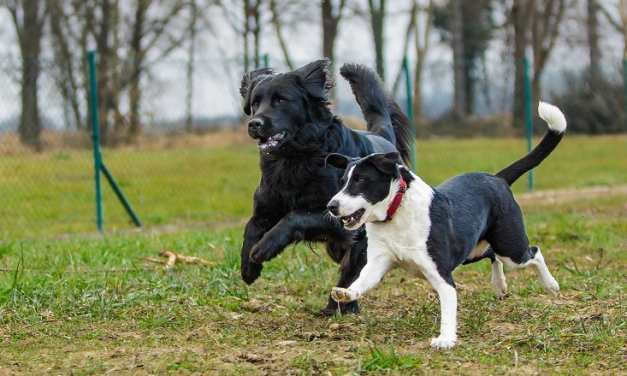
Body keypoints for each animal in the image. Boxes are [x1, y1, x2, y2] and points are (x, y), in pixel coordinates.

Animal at [239, 59, 412, 314]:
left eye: (281, 100)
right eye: (254, 103)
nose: (254, 124)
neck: (295, 158)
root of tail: (382, 138)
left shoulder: (340, 217)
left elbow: (295, 217)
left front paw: (265, 247)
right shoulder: (265, 208)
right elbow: (251, 228)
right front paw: (248, 267)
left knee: (352, 270)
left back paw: (338, 307)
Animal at [326, 101, 568, 348]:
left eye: (361, 180)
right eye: (342, 181)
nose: (331, 206)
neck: (396, 211)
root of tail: (497, 178)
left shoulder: (440, 273)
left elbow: (448, 306)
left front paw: (445, 339)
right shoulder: (378, 261)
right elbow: (362, 280)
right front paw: (346, 293)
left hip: (510, 247)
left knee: (533, 252)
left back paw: (551, 285)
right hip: (471, 251)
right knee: (492, 254)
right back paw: (500, 285)